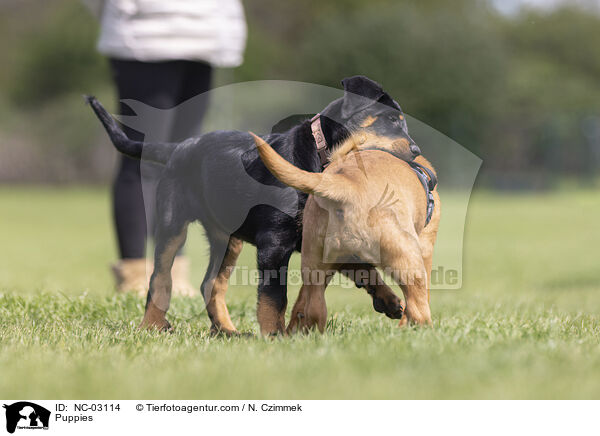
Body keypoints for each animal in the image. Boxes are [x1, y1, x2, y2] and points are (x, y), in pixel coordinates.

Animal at [86, 76, 420, 334]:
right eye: (392, 121)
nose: (416, 151)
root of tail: (178, 147)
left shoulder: (329, 237)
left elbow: (364, 269)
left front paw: (390, 302)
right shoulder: (274, 243)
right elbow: (274, 297)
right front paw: (274, 336)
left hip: (226, 238)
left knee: (211, 283)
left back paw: (226, 331)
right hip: (172, 223)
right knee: (160, 276)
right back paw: (153, 325)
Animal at [250, 131, 440, 332]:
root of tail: (347, 183)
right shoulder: (425, 248)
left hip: (315, 264)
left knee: (315, 308)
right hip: (407, 259)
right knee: (418, 310)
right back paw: (424, 332)